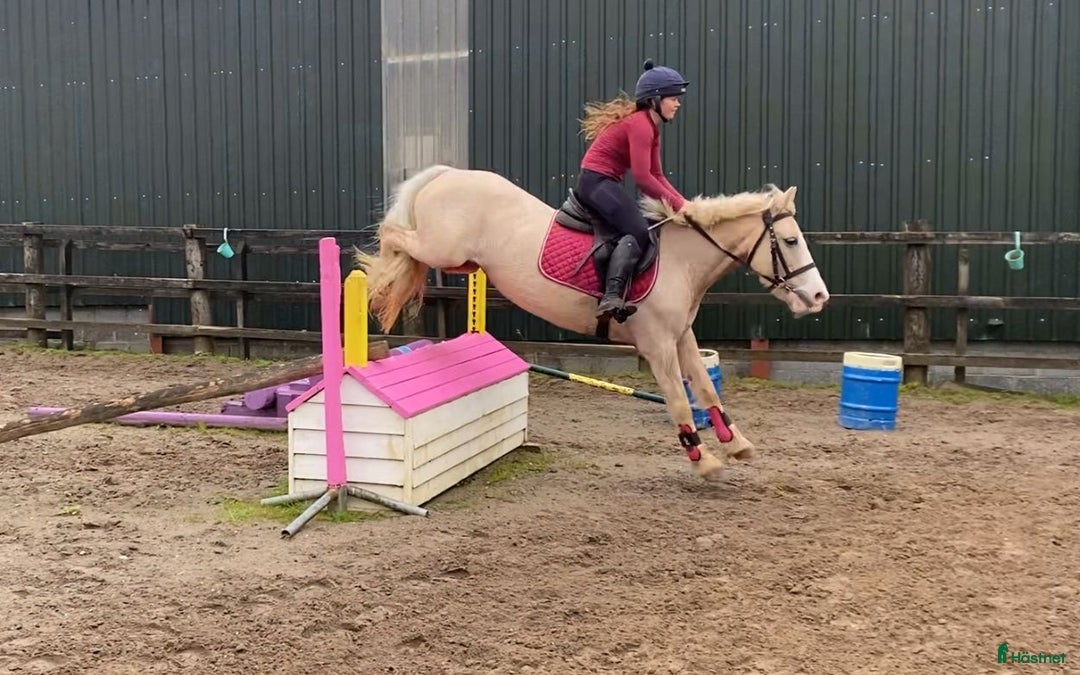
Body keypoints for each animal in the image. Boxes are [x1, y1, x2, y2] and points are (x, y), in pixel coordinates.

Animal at [355, 164, 830, 480]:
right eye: (791, 241)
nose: (819, 297)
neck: (682, 261)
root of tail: (447, 174)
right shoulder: (657, 345)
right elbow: (679, 400)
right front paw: (704, 459)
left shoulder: (682, 337)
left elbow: (706, 388)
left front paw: (737, 444)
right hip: (441, 247)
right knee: (394, 236)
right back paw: (372, 275)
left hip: (460, 259)